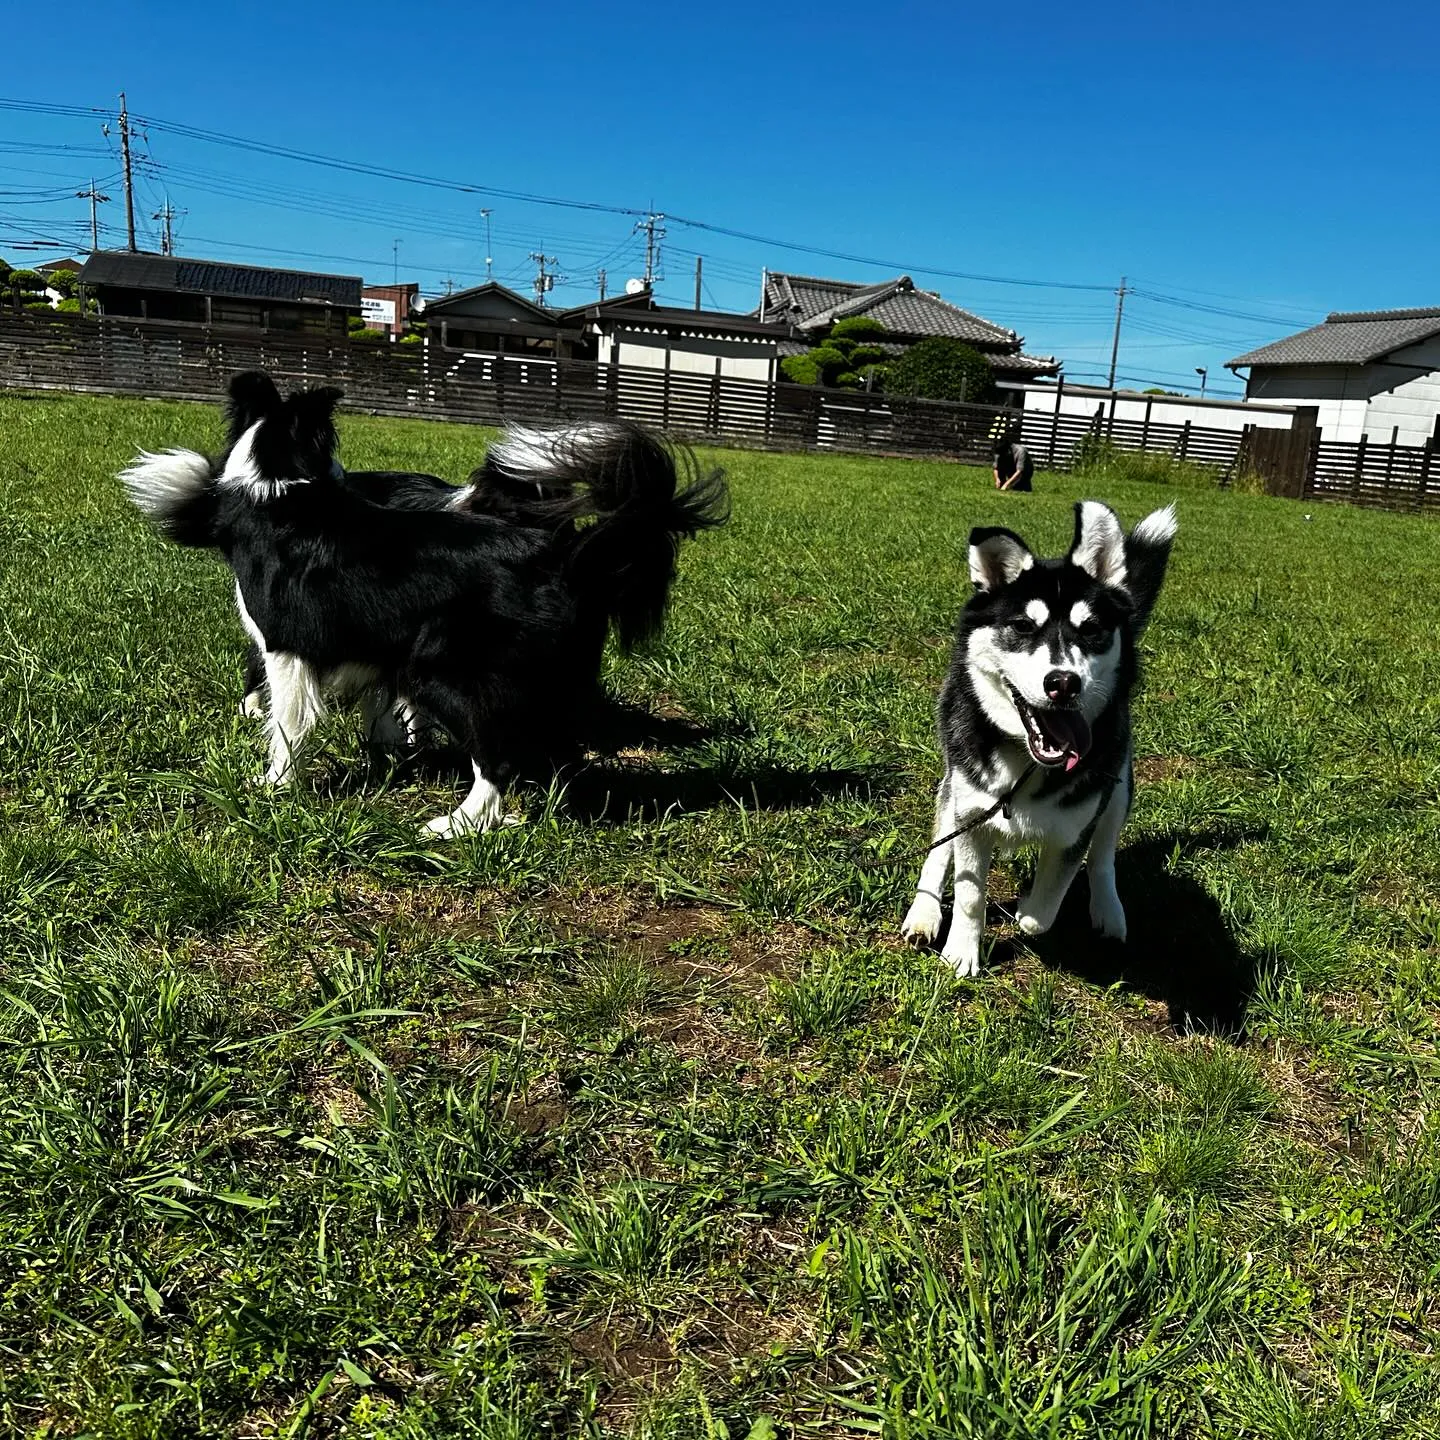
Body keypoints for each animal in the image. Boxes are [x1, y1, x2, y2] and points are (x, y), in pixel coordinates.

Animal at [120, 374, 731, 835]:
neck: (278, 485)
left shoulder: (288, 649)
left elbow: (289, 725)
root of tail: (568, 553)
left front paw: (274, 786)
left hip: (443, 666)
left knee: (497, 754)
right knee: (550, 748)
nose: (346, 476)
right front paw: (390, 753)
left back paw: (457, 825)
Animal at [904, 498, 1175, 979]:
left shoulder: (1076, 826)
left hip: (1119, 785)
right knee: (940, 846)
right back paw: (925, 911)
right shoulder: (971, 809)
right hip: (953, 785)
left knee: (1103, 856)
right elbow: (970, 893)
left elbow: (1043, 911)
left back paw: (1108, 910)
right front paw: (962, 952)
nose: (1062, 683)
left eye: (1091, 629)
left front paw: (1029, 907)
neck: (1027, 767)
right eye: (1023, 627)